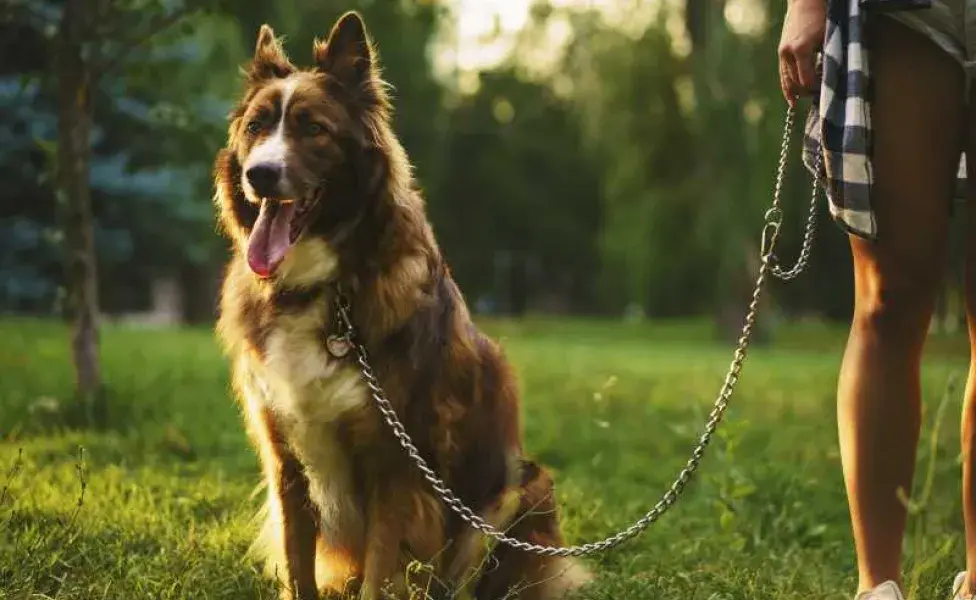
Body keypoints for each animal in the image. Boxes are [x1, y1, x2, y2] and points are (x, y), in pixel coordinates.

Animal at [214, 10, 592, 600]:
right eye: (257, 127)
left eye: (313, 128)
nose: (260, 175)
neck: (329, 286)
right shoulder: (286, 462)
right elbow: (299, 566)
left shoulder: (395, 465)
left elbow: (380, 569)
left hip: (517, 489)